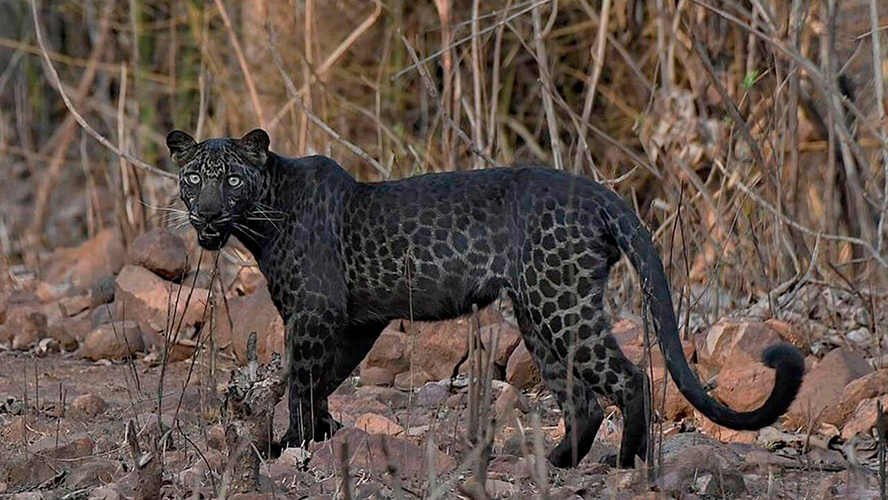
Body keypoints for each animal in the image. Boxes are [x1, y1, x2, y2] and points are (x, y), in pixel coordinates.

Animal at [167, 128, 805, 468]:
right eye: (193, 178)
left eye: (231, 178)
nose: (207, 213)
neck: (261, 219)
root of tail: (600, 193)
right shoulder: (356, 319)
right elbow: (323, 380)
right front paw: (320, 436)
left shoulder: (315, 313)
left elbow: (302, 380)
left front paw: (292, 445)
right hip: (538, 314)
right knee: (582, 400)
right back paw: (553, 464)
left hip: (561, 305)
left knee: (629, 379)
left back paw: (626, 464)